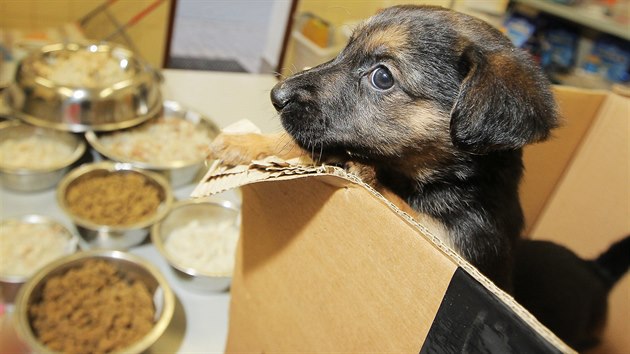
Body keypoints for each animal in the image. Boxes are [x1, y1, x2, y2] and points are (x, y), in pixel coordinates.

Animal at [210, 4, 560, 290]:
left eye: (382, 77)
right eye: (345, 51)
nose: (277, 95)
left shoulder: (457, 243)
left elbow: (404, 204)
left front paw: (367, 173)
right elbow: (308, 146)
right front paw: (244, 141)